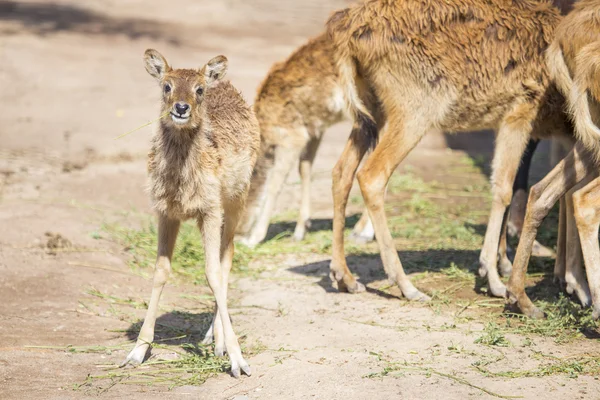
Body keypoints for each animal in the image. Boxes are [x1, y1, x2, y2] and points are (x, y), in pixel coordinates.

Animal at [122, 50, 260, 378]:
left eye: (199, 90)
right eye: (166, 85)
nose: (181, 108)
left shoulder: (210, 209)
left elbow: (212, 272)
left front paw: (239, 361)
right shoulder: (165, 212)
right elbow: (160, 271)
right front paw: (137, 352)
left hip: (237, 199)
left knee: (226, 258)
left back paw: (219, 341)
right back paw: (213, 338)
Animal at [326, 0, 576, 300]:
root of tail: (345, 32)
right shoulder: (521, 109)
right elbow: (503, 187)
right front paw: (494, 277)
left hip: (370, 110)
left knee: (341, 171)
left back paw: (344, 276)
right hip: (416, 106)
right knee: (371, 175)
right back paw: (406, 286)